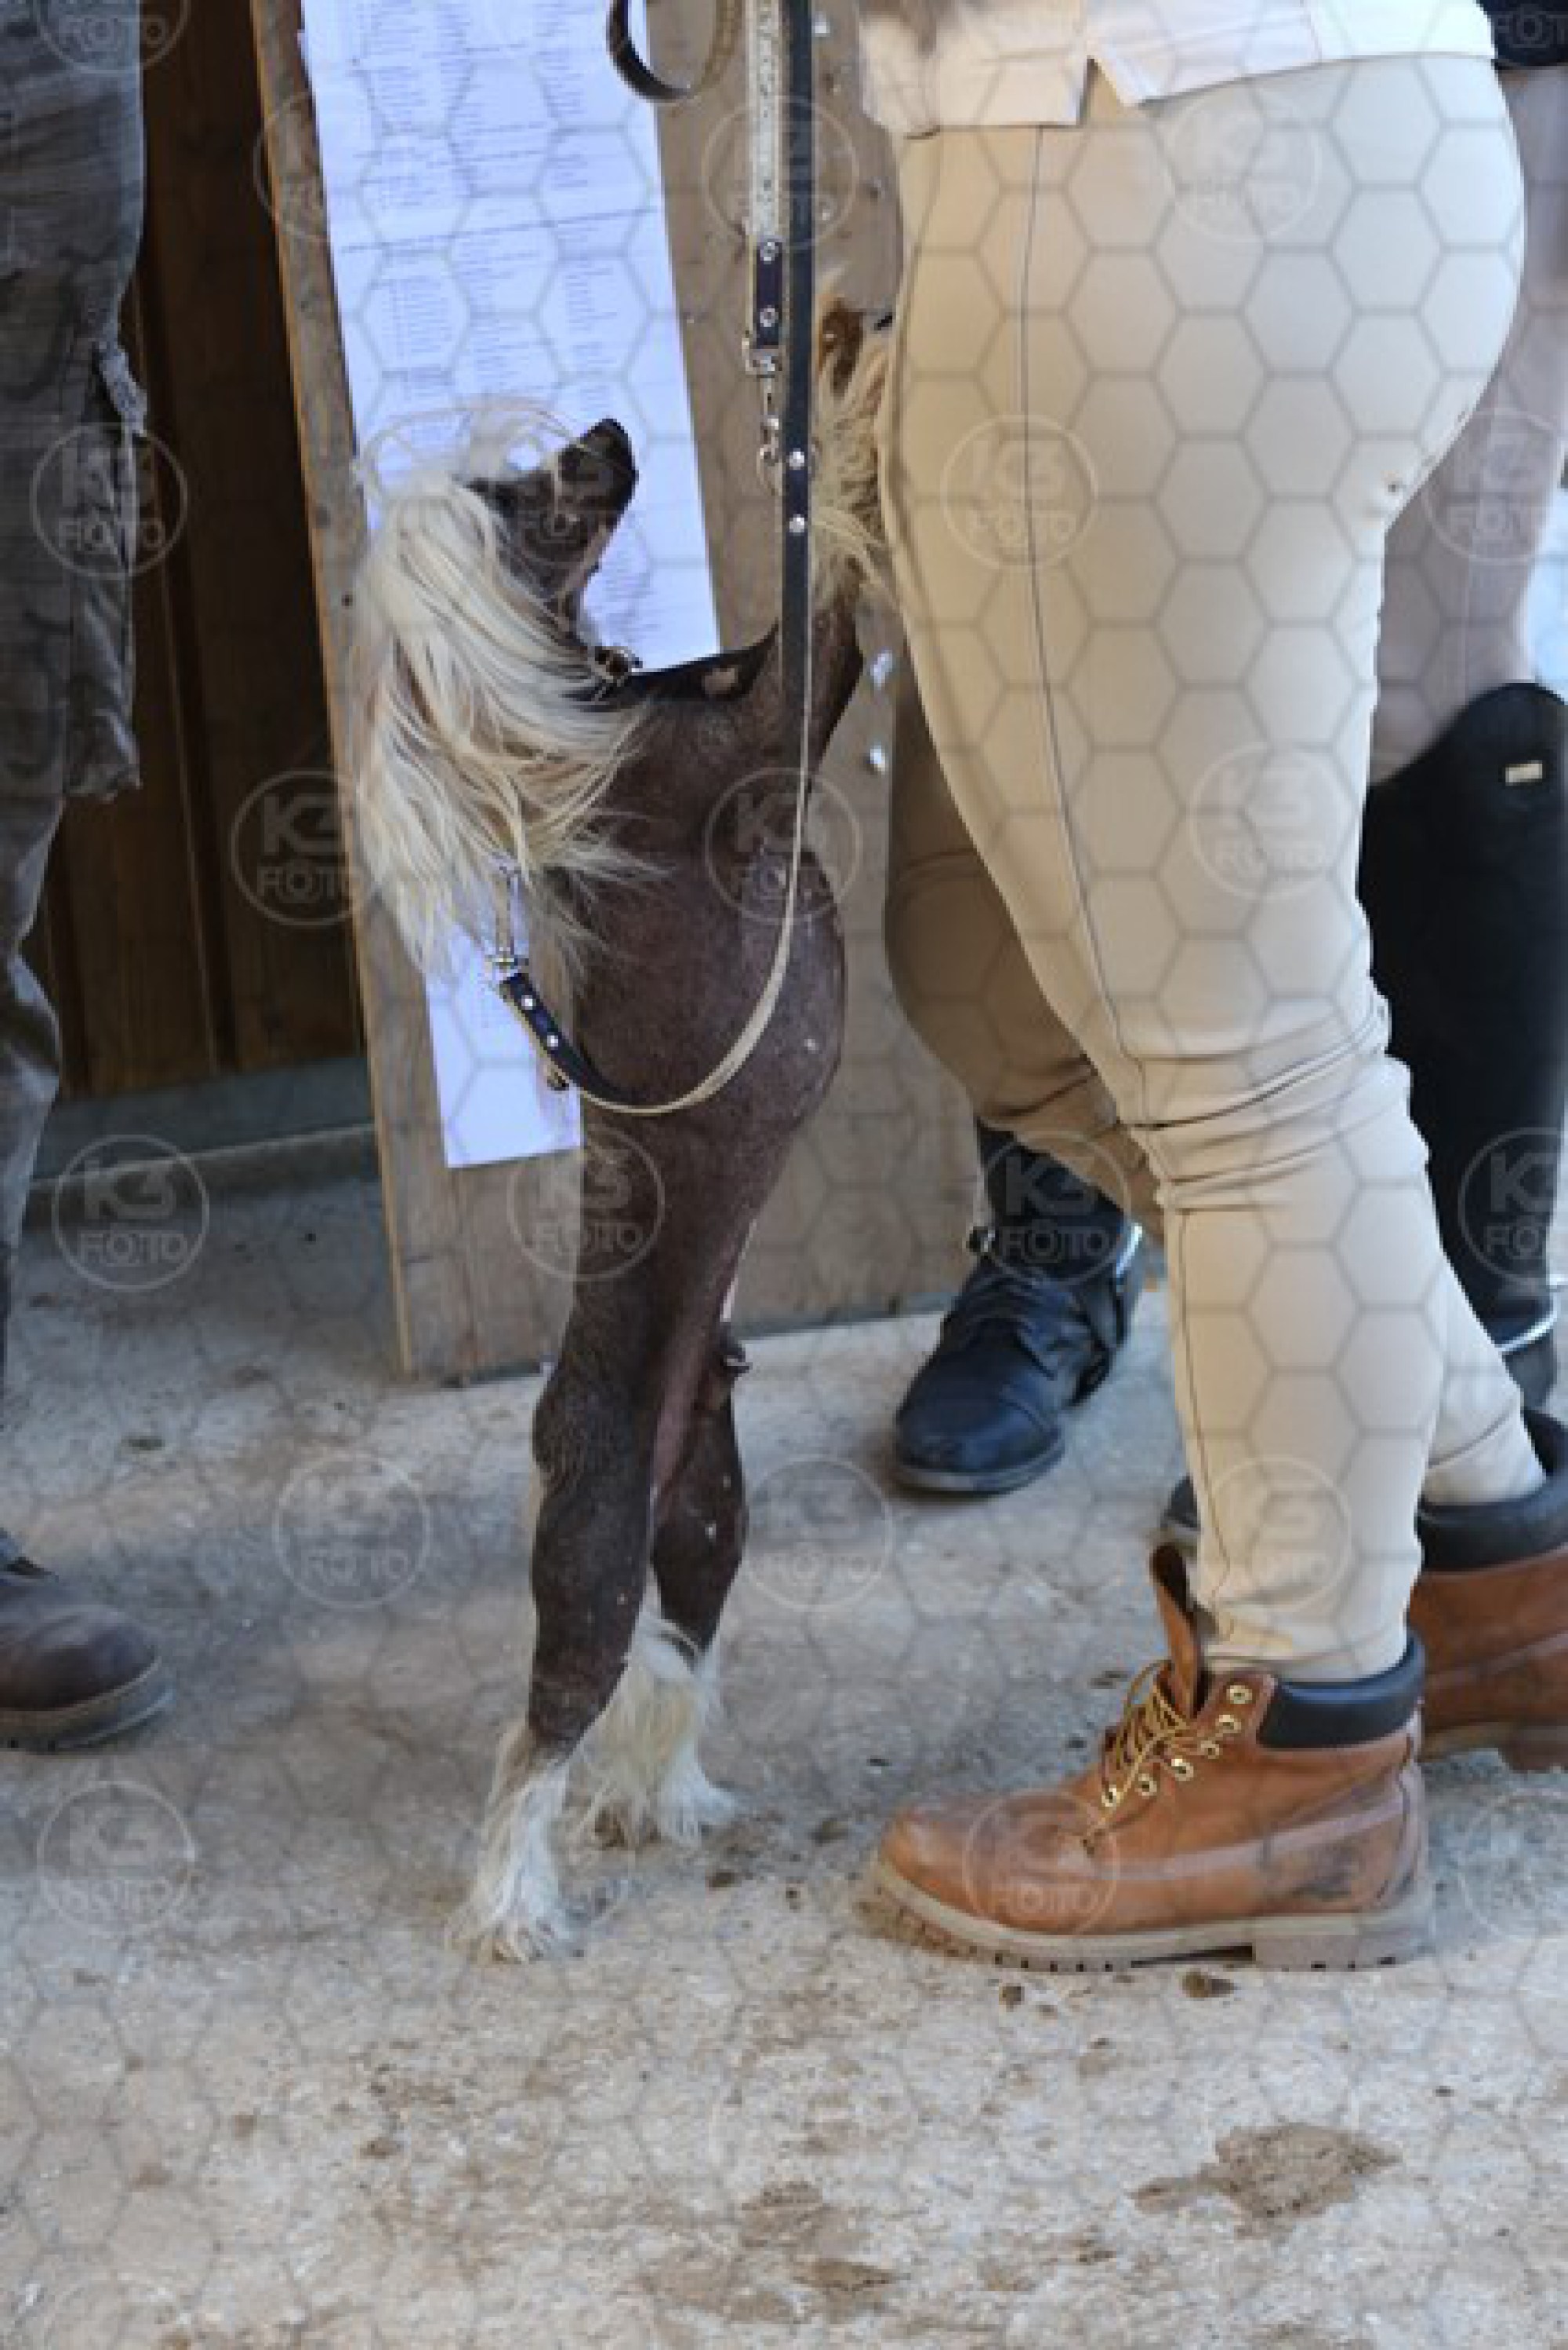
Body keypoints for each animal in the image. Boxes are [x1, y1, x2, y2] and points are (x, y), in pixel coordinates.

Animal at [351, 301, 889, 1955]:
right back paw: (515, 1899)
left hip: (708, 1506)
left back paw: (664, 1794)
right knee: (543, 1723)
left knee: (671, 1653)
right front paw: (848, 414)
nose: (606, 431)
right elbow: (826, 591)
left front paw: (834, 338)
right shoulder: (769, 735)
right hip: (591, 1548)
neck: (581, 715)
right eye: (526, 502)